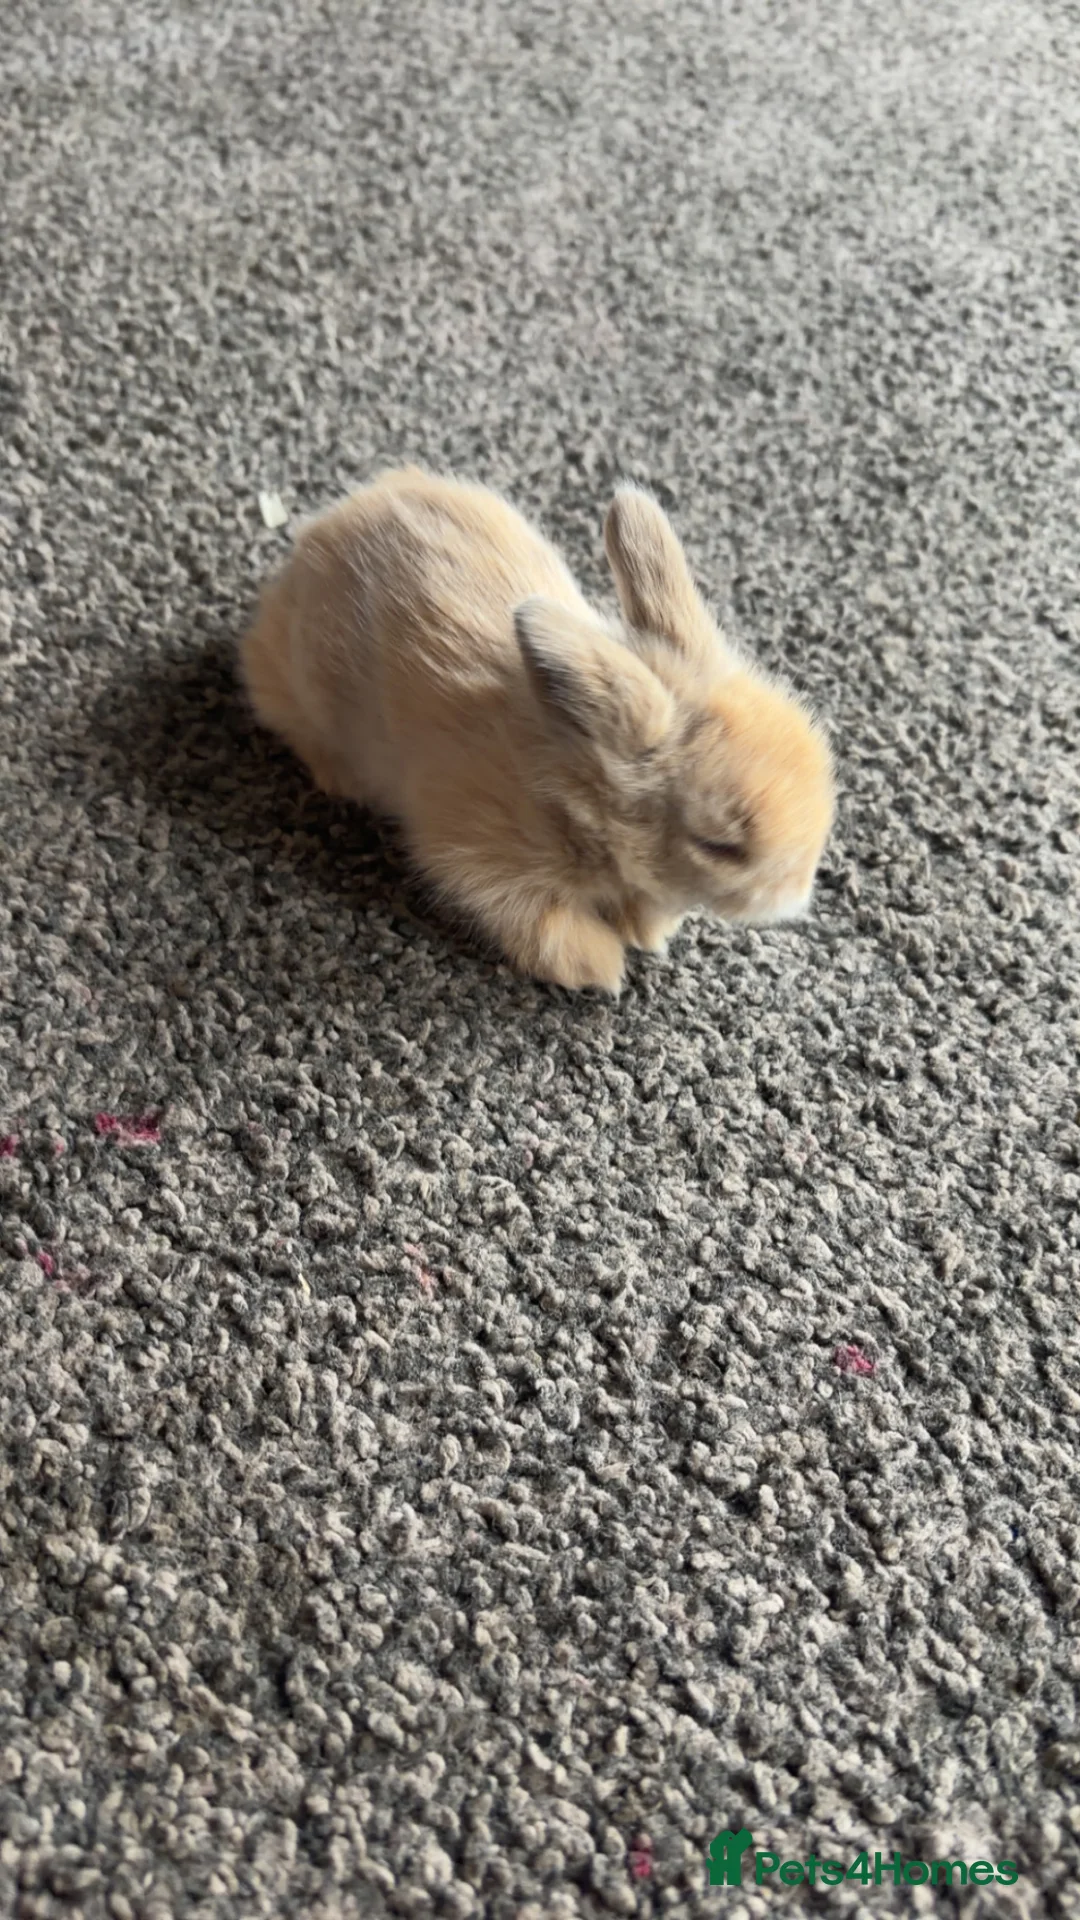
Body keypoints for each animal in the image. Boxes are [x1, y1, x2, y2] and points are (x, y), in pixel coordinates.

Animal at [240, 467, 835, 993]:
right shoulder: (476, 855)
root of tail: (316, 537)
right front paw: (602, 968)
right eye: (718, 846)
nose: (797, 897)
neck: (578, 788)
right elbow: (538, 918)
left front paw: (648, 932)